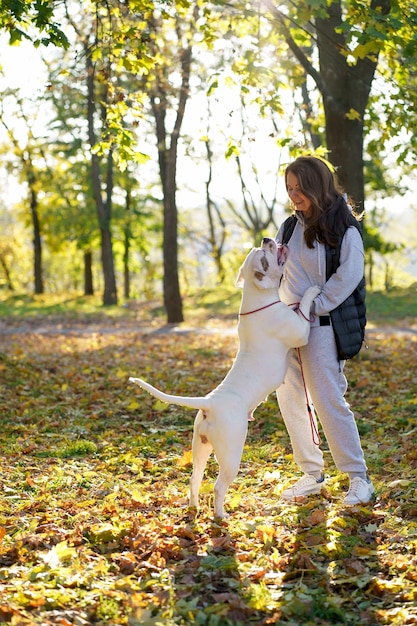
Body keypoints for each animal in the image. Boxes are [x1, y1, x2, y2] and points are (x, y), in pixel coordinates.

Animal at [129, 239, 318, 516]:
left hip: (200, 448)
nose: (267, 240)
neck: (257, 298)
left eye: (258, 250)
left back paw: (194, 507)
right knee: (218, 487)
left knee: (194, 478)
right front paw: (312, 292)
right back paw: (220, 516)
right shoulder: (301, 332)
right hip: (230, 454)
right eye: (265, 257)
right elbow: (303, 307)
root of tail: (210, 403)